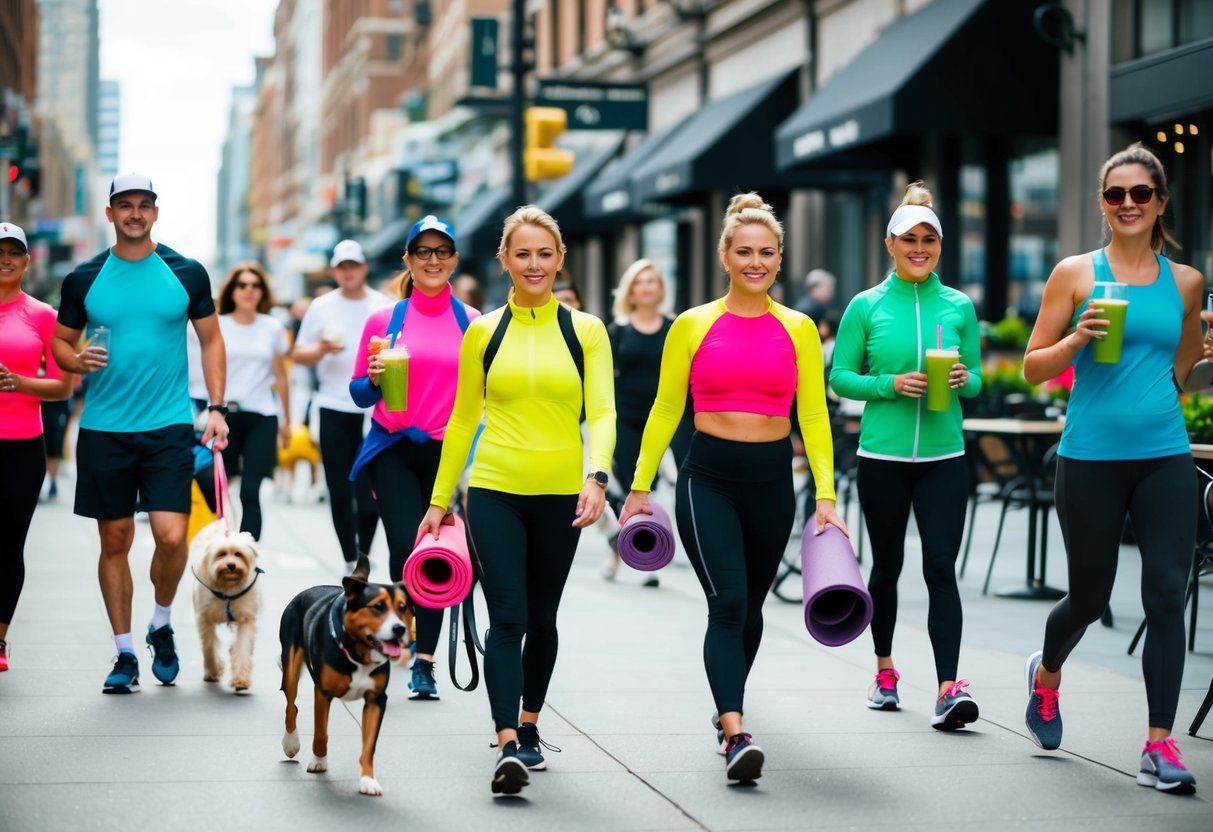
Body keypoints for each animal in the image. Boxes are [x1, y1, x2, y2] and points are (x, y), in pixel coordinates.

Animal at [188, 523, 262, 693]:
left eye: (238, 554)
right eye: (221, 554)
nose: (231, 565)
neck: (228, 588)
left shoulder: (246, 619)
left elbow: (242, 648)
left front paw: (241, 680)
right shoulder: (204, 619)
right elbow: (209, 646)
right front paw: (212, 671)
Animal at [280, 557, 417, 800]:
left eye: (402, 608)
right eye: (378, 607)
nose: (399, 629)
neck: (359, 652)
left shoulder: (376, 700)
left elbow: (369, 745)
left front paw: (368, 780)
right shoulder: (322, 693)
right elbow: (321, 733)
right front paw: (318, 761)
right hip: (291, 664)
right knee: (290, 705)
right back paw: (291, 743)